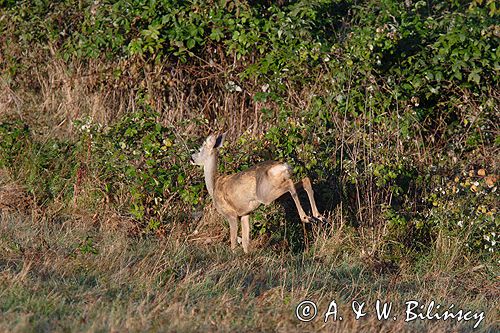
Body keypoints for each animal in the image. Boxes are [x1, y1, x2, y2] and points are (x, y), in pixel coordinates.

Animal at [191, 132, 324, 252]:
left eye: (200, 149)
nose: (191, 158)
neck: (214, 185)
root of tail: (283, 166)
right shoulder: (245, 214)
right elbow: (245, 242)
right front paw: (246, 255)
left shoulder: (230, 214)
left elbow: (233, 241)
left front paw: (233, 255)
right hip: (274, 189)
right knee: (305, 180)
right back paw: (318, 216)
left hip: (264, 194)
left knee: (290, 185)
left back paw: (306, 217)